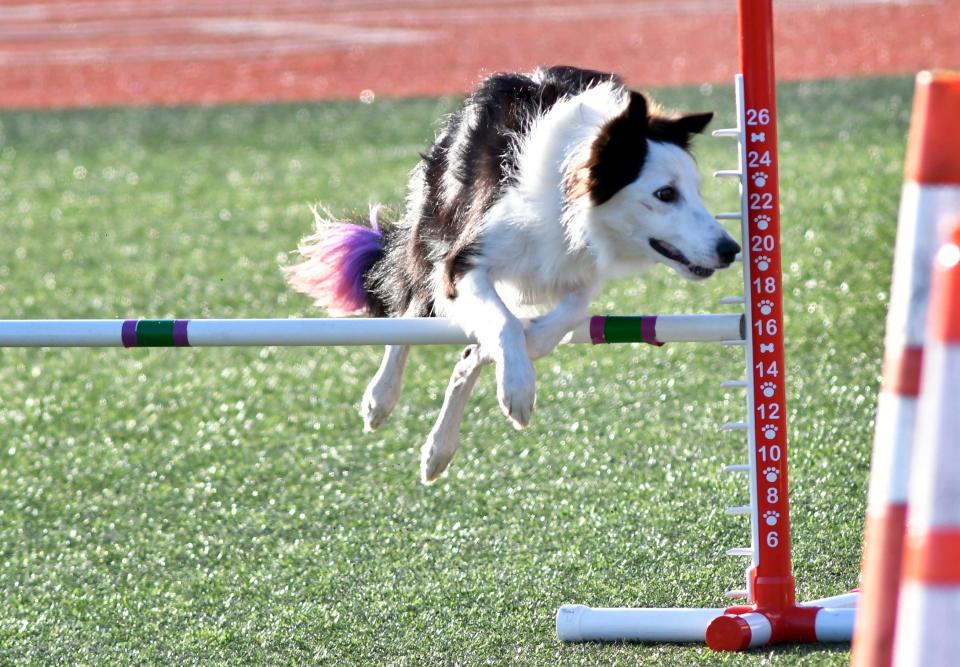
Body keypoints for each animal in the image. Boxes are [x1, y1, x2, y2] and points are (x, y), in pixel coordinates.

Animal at [288, 68, 740, 482]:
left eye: (696, 191)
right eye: (665, 194)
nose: (731, 250)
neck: (567, 192)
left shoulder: (581, 269)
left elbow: (560, 319)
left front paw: (520, 350)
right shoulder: (463, 262)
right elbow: (503, 323)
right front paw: (518, 389)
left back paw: (439, 448)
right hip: (435, 229)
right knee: (409, 313)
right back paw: (381, 398)